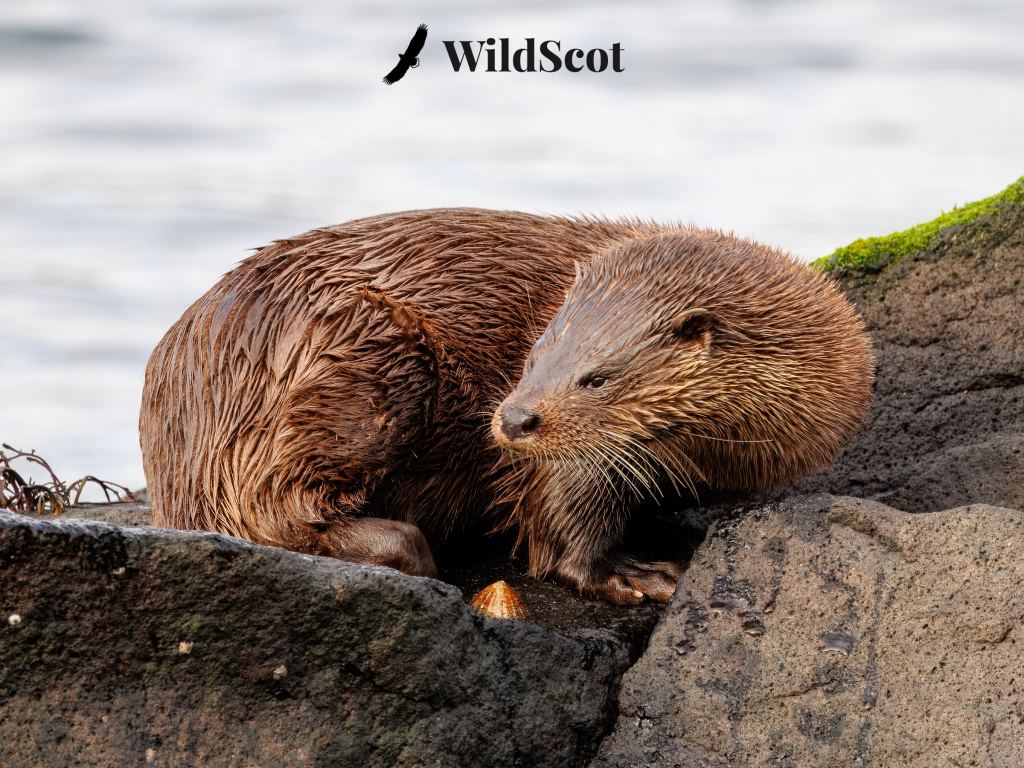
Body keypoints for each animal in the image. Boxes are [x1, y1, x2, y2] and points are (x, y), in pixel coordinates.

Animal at [141, 208, 873, 604]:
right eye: (533, 356)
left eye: (595, 378)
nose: (515, 418)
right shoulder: (571, 460)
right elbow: (558, 511)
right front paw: (628, 572)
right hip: (359, 358)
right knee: (270, 508)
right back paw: (402, 546)